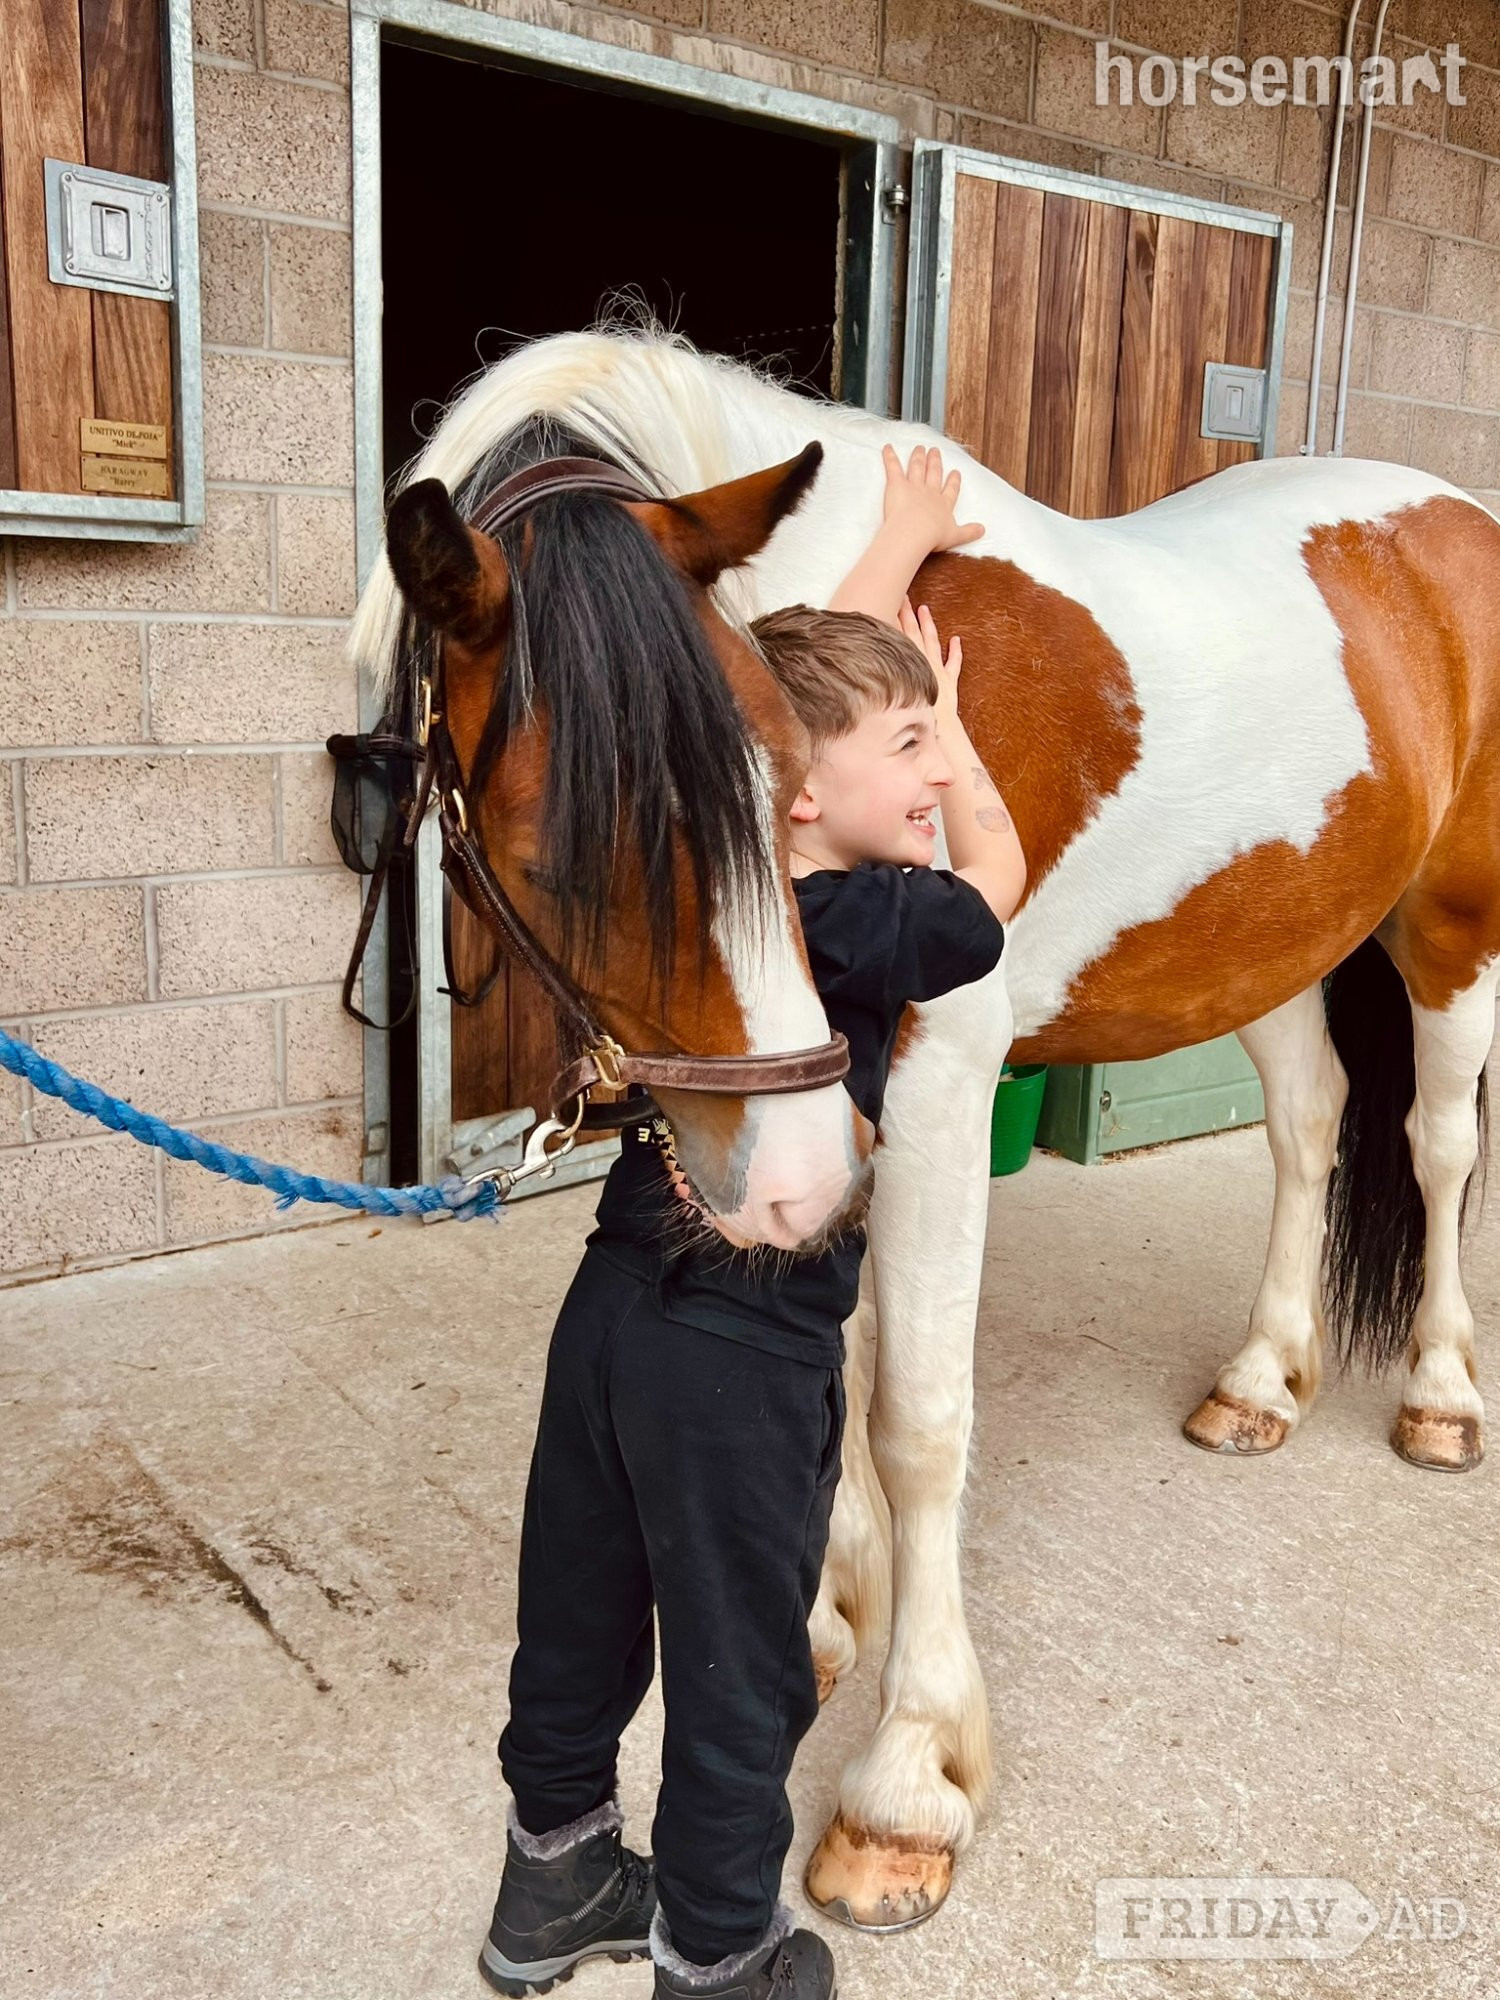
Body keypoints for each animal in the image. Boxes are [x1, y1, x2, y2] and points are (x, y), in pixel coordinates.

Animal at [348, 324, 1500, 1934]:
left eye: (786, 781)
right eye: (547, 852)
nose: (773, 1173)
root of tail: (1450, 516)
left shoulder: (939, 1084)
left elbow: (917, 1419)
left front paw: (907, 1783)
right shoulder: (834, 1112)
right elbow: (838, 1372)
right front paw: (831, 1615)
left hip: (1454, 928)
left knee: (1441, 1145)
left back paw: (1443, 1397)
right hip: (1269, 938)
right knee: (1311, 1123)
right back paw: (1262, 1379)